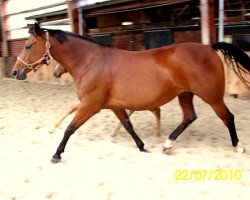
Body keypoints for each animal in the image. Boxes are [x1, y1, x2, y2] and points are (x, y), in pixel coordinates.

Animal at [12, 23, 249, 164]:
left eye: (28, 45)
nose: (16, 72)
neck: (91, 62)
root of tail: (209, 47)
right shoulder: (114, 105)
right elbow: (128, 126)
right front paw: (143, 147)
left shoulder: (90, 106)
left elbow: (70, 128)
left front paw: (56, 154)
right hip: (185, 94)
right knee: (189, 117)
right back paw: (167, 145)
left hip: (212, 97)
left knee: (228, 117)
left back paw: (238, 147)